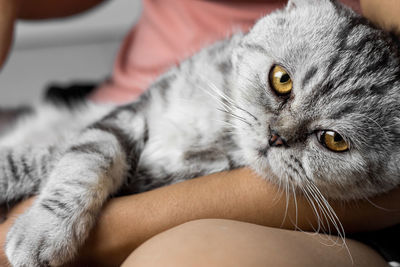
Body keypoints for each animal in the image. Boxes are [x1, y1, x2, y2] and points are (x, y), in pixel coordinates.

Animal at [0, 0, 400, 266]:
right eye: (281, 79)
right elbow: (80, 159)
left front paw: (37, 234)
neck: (216, 123)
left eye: (333, 140)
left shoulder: (148, 175)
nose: (276, 136)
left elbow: (68, 159)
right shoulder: (131, 116)